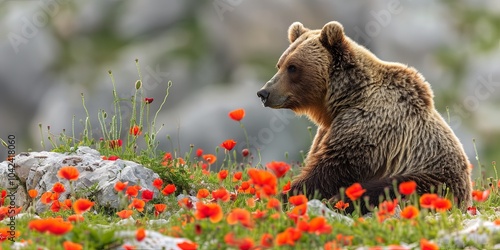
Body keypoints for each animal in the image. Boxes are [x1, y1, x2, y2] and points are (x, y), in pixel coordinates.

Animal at [258, 21, 472, 213]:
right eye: (280, 64)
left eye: (293, 67)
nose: (264, 93)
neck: (344, 98)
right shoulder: (329, 128)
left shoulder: (370, 125)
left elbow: (333, 167)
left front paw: (288, 195)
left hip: (434, 179)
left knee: (388, 189)